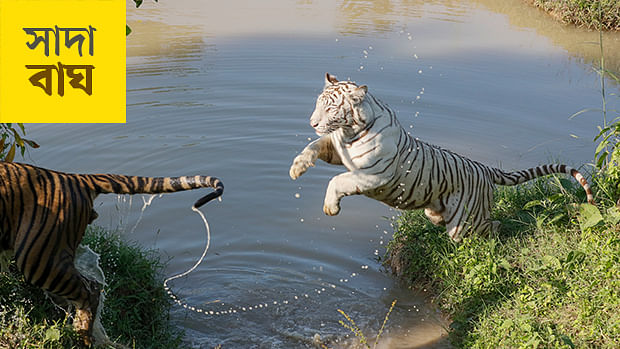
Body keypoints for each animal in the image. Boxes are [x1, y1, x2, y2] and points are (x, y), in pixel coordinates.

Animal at [290, 72, 596, 242]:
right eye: (318, 103)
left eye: (330, 109)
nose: (312, 122)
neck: (351, 130)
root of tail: (485, 169)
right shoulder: (337, 148)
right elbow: (314, 146)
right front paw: (297, 168)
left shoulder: (372, 175)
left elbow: (338, 181)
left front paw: (331, 207)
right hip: (439, 209)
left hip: (466, 225)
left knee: (491, 227)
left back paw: (502, 233)